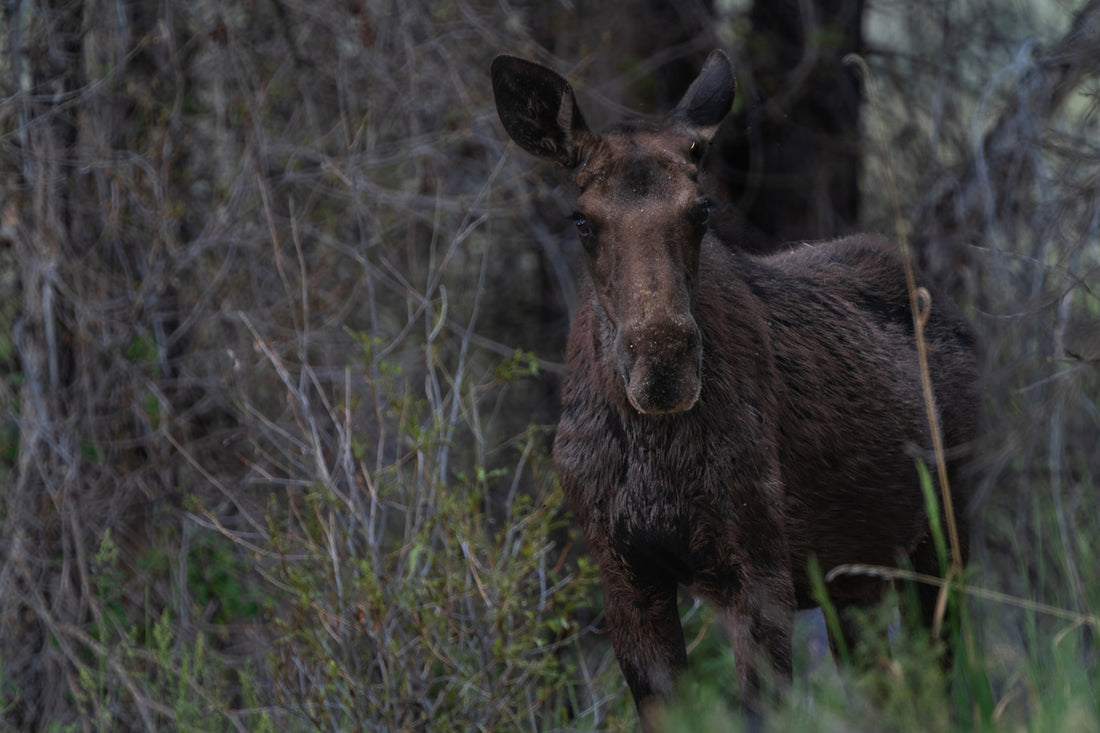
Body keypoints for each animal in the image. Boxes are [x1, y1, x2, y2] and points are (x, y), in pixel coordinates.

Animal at [490, 50, 978, 730]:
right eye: (582, 219)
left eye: (701, 210)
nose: (663, 361)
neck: (655, 451)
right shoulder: (624, 572)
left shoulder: (760, 569)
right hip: (854, 578)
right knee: (883, 684)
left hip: (943, 534)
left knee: (943, 675)